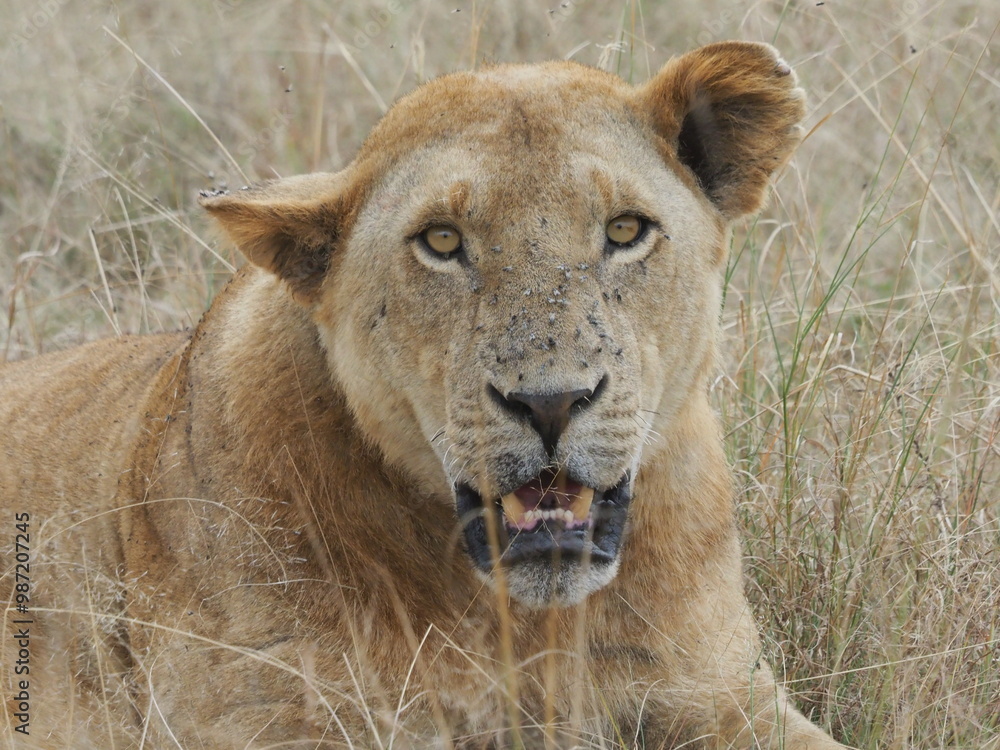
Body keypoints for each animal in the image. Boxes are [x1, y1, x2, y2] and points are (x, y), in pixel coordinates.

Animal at [0, 42, 848, 750]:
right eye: (442, 241)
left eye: (625, 230)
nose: (550, 403)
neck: (526, 630)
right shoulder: (261, 724)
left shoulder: (728, 696)